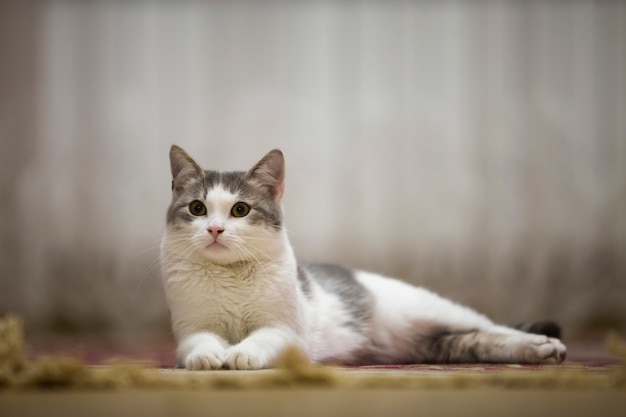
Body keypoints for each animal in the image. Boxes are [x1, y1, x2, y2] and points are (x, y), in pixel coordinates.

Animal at [161, 146, 564, 370]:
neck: (229, 276)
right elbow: (199, 344)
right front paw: (208, 358)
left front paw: (241, 354)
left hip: (433, 310)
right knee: (476, 340)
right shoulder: (192, 330)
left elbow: (260, 339)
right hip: (438, 345)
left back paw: (545, 344)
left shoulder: (287, 333)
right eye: (198, 208)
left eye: (240, 210)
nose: (214, 229)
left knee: (492, 326)